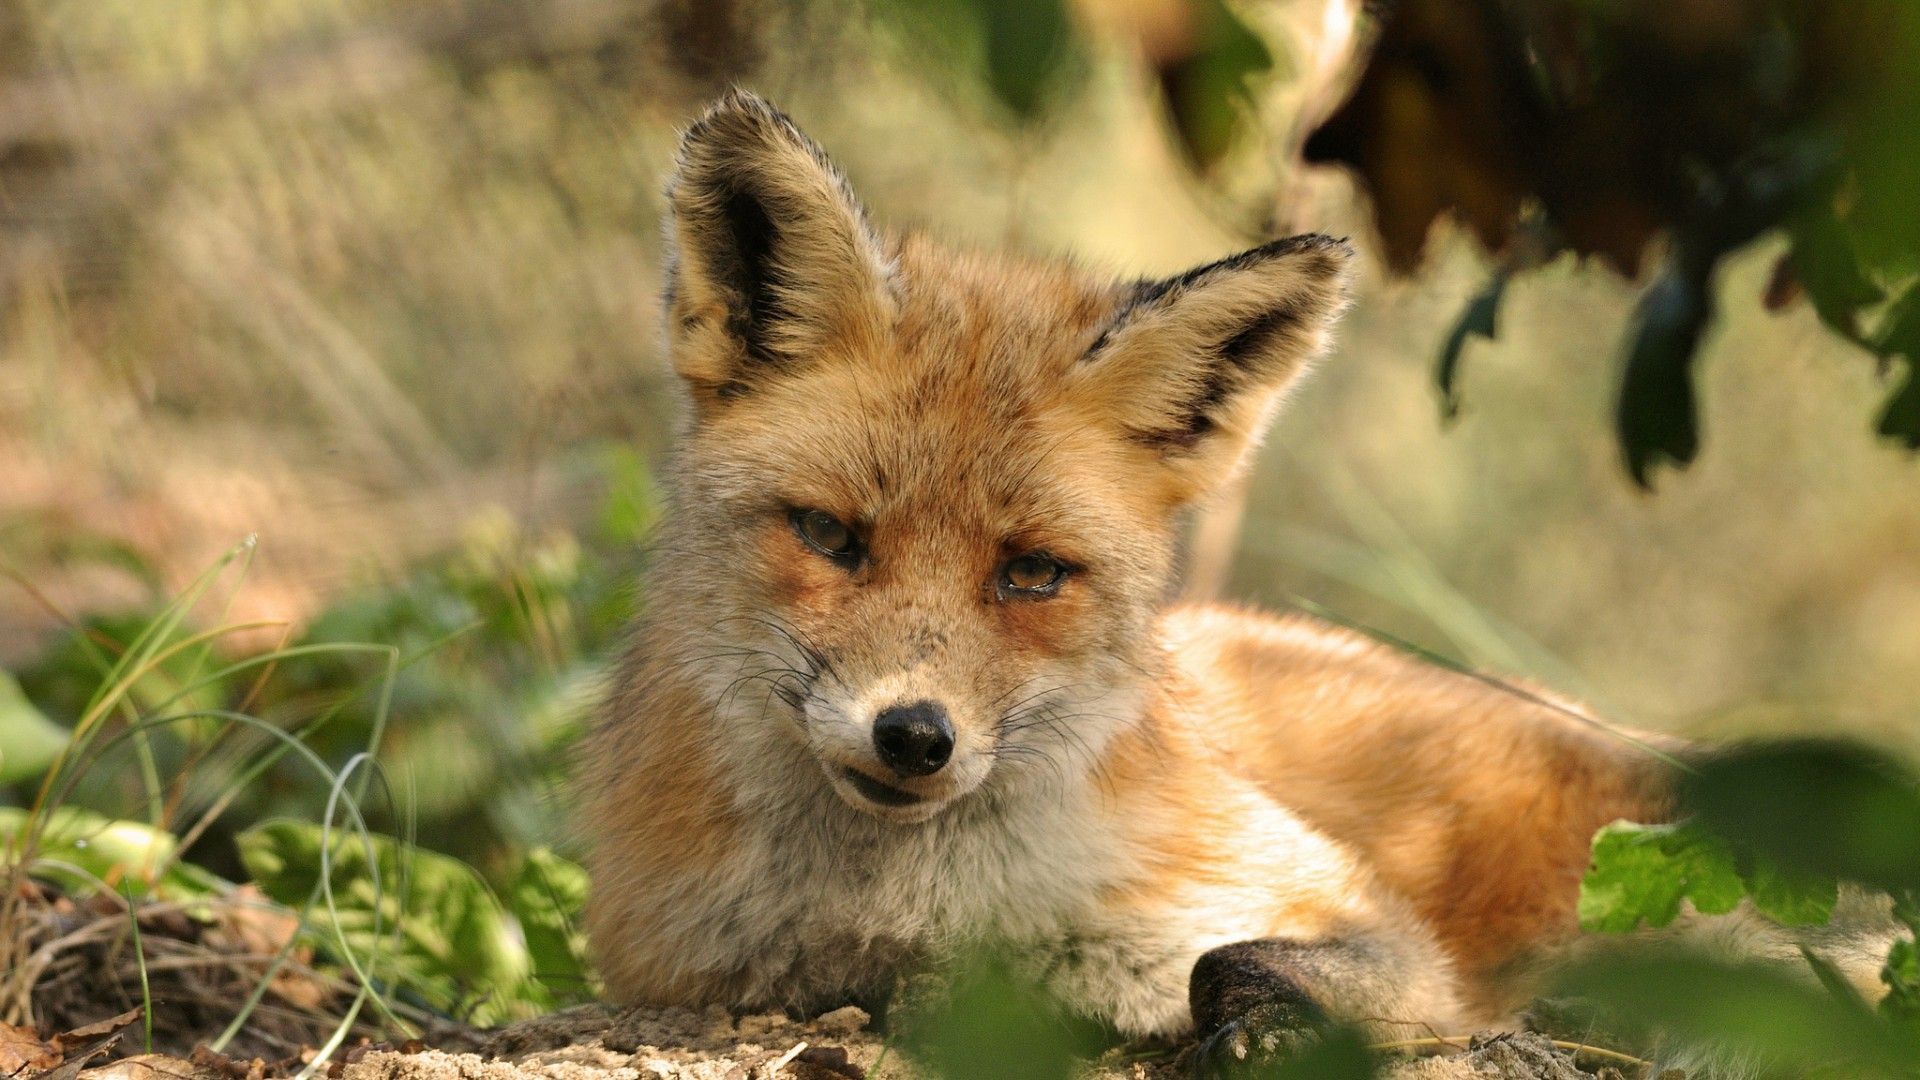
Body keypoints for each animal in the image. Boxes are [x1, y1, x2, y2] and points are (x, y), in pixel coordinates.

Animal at [576, 90, 1866, 1068]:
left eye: (1032, 573)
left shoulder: (1357, 917)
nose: (915, 737)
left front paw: (1261, 1028)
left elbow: (1230, 963)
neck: (899, 908)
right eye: (833, 536)